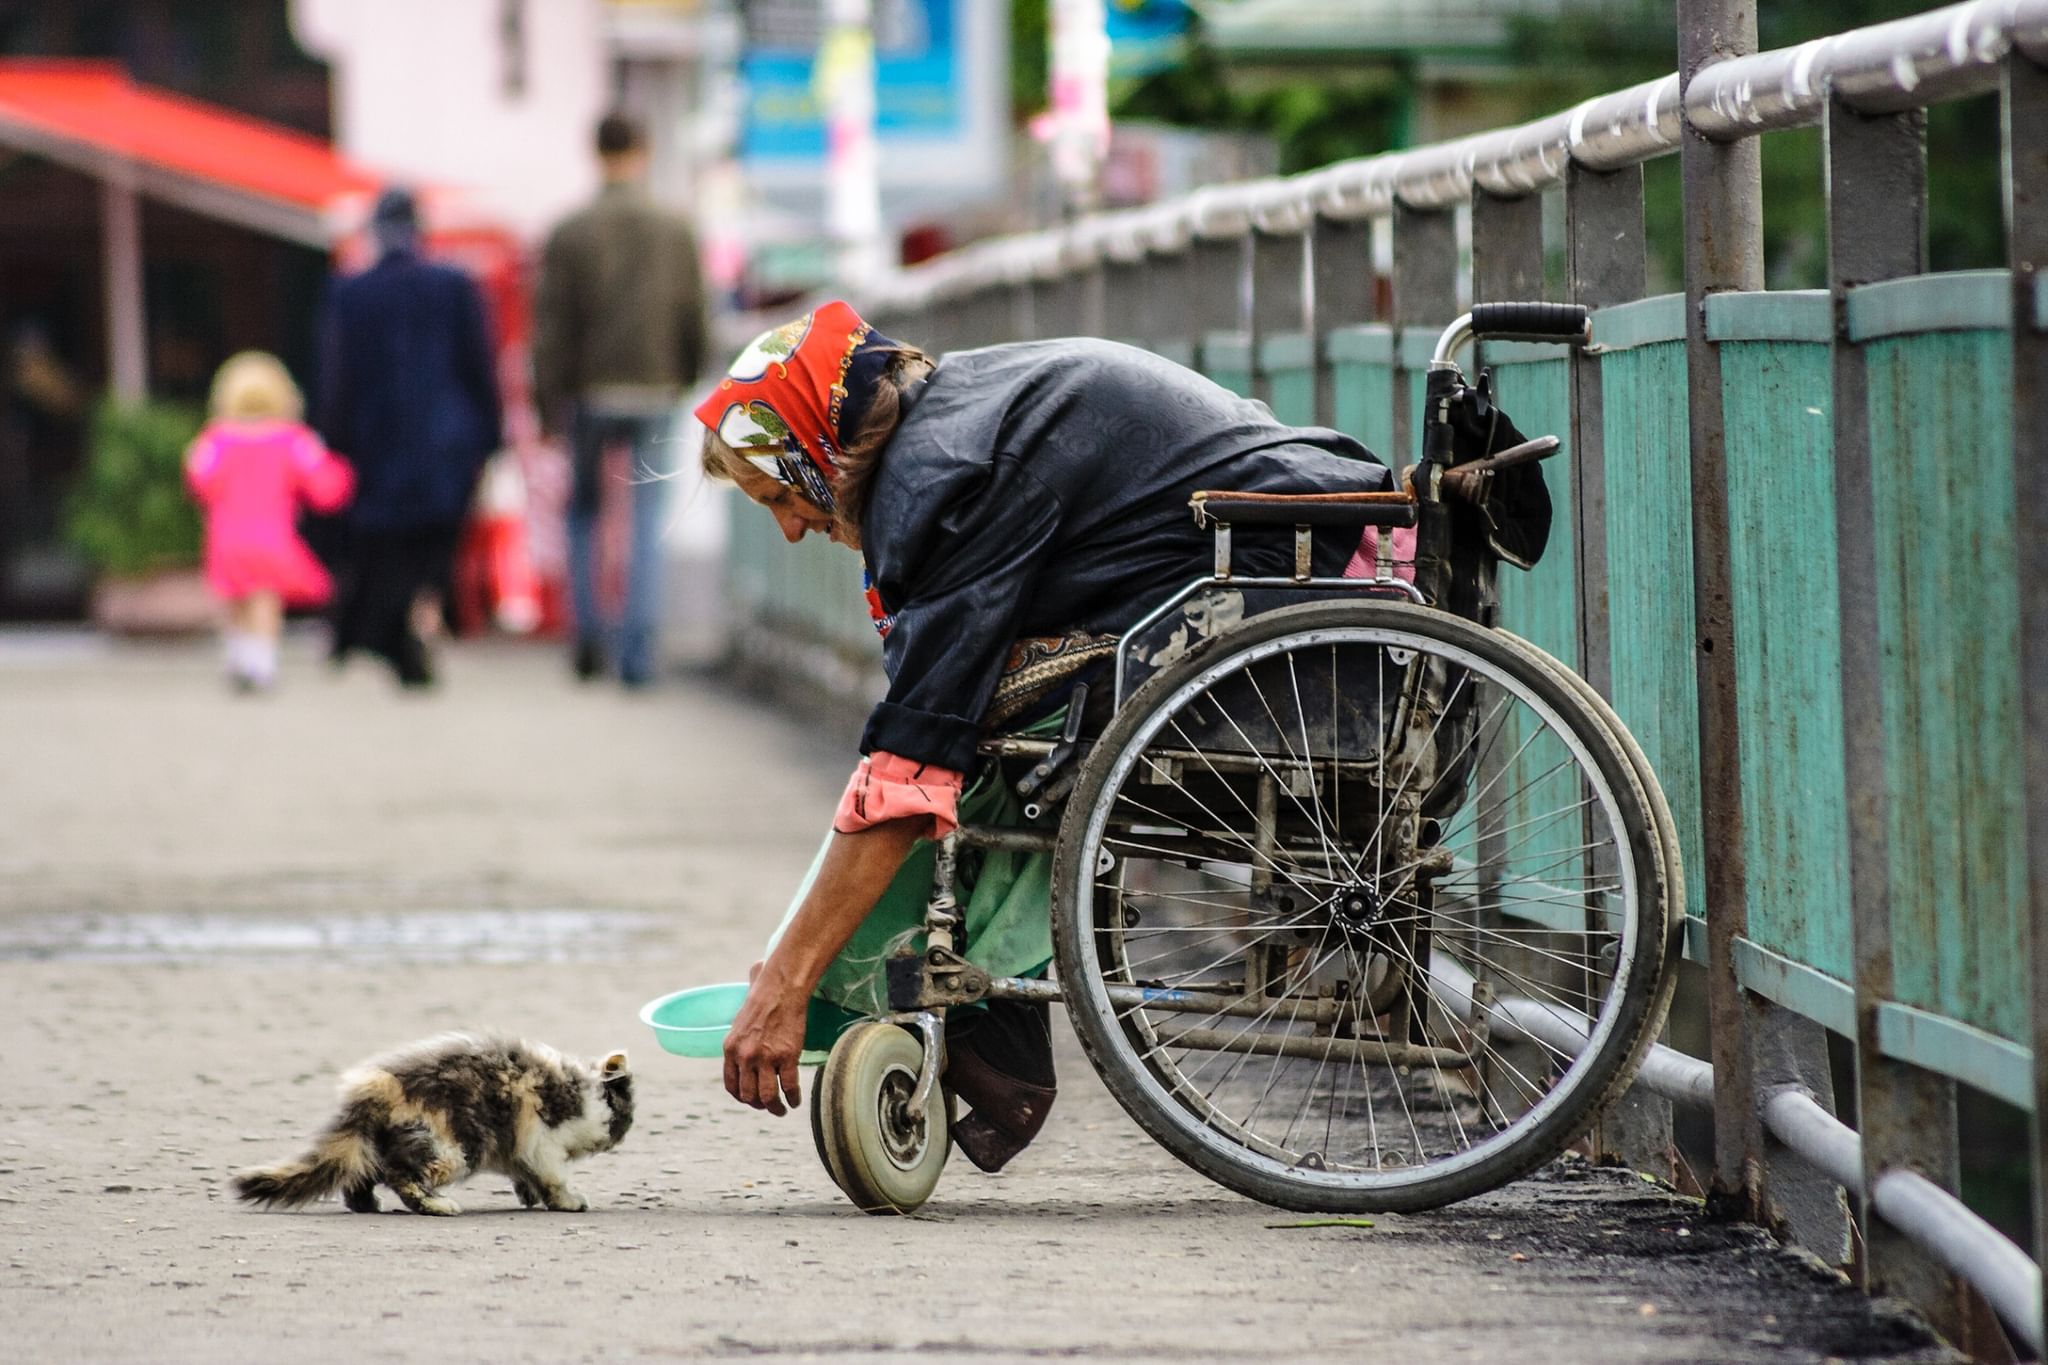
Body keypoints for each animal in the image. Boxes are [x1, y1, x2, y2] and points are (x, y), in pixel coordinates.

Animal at [234, 1035, 630, 1219]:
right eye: (625, 1117)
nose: (617, 1139)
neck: (579, 1089)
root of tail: (379, 1089)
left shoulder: (523, 1151)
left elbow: (528, 1175)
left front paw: (529, 1195)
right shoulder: (542, 1142)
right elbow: (553, 1177)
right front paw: (568, 1200)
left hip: (382, 1142)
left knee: (360, 1172)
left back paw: (367, 1204)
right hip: (450, 1148)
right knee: (403, 1176)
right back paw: (437, 1205)